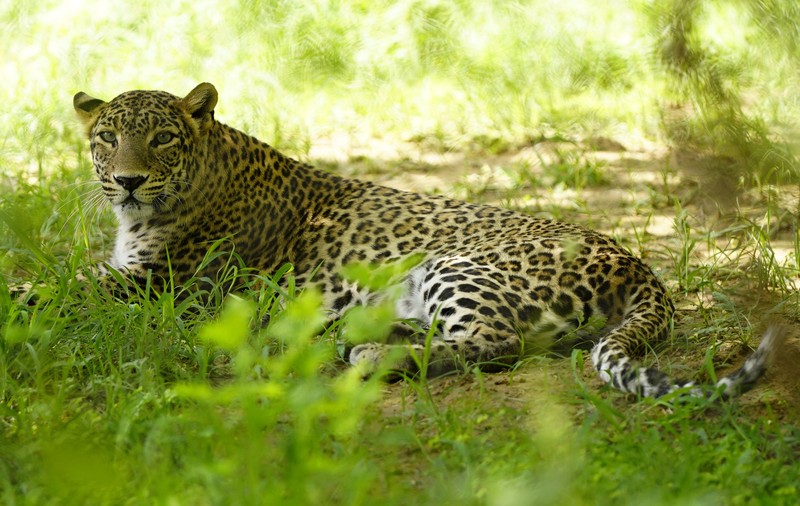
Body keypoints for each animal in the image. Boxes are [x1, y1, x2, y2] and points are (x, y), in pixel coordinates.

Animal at [71, 82, 786, 398]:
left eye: (163, 138)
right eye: (108, 137)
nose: (129, 180)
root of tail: (639, 264)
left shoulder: (155, 285)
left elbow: (56, 290)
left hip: (455, 261)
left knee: (495, 343)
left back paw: (368, 358)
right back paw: (358, 338)